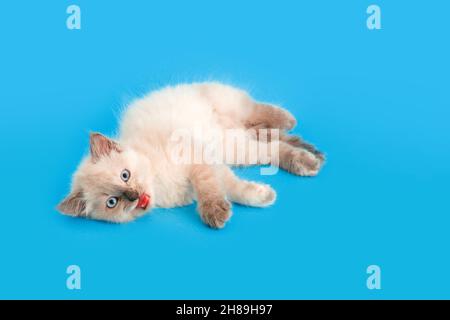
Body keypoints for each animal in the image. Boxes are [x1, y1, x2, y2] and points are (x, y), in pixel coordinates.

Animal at [58, 82, 324, 228]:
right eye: (112, 202)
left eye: (125, 175)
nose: (133, 195)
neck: (158, 182)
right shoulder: (215, 166)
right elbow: (234, 189)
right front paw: (264, 196)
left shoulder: (198, 160)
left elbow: (211, 189)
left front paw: (214, 213)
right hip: (238, 144)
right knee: (274, 141)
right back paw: (312, 156)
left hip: (233, 120)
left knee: (261, 116)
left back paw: (292, 127)